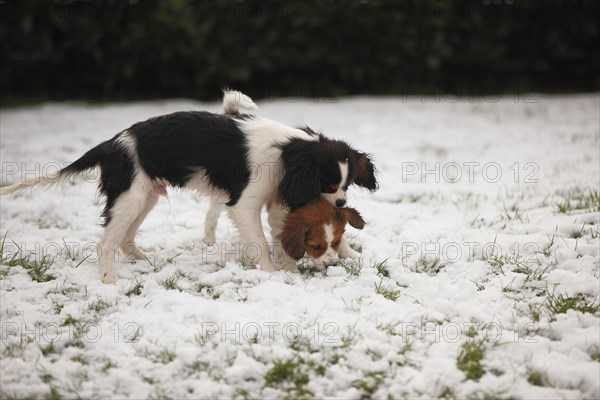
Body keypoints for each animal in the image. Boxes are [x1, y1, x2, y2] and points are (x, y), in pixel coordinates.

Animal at [0, 92, 378, 282]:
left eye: (347, 184)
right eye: (329, 183)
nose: (341, 203)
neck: (288, 149)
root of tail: (111, 144)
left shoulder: (278, 197)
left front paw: (346, 255)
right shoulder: (246, 202)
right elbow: (259, 241)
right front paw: (272, 273)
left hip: (144, 197)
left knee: (123, 238)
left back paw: (143, 261)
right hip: (129, 196)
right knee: (106, 242)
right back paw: (109, 279)